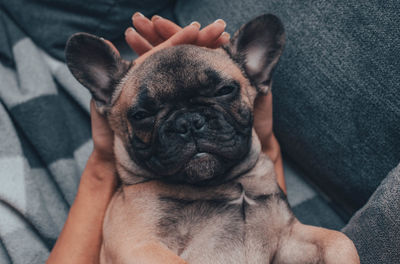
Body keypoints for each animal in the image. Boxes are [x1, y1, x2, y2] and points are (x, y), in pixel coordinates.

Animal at [65, 14, 360, 264]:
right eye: (141, 115)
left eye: (224, 90)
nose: (188, 122)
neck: (224, 185)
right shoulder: (139, 245)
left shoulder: (287, 238)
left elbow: (339, 240)